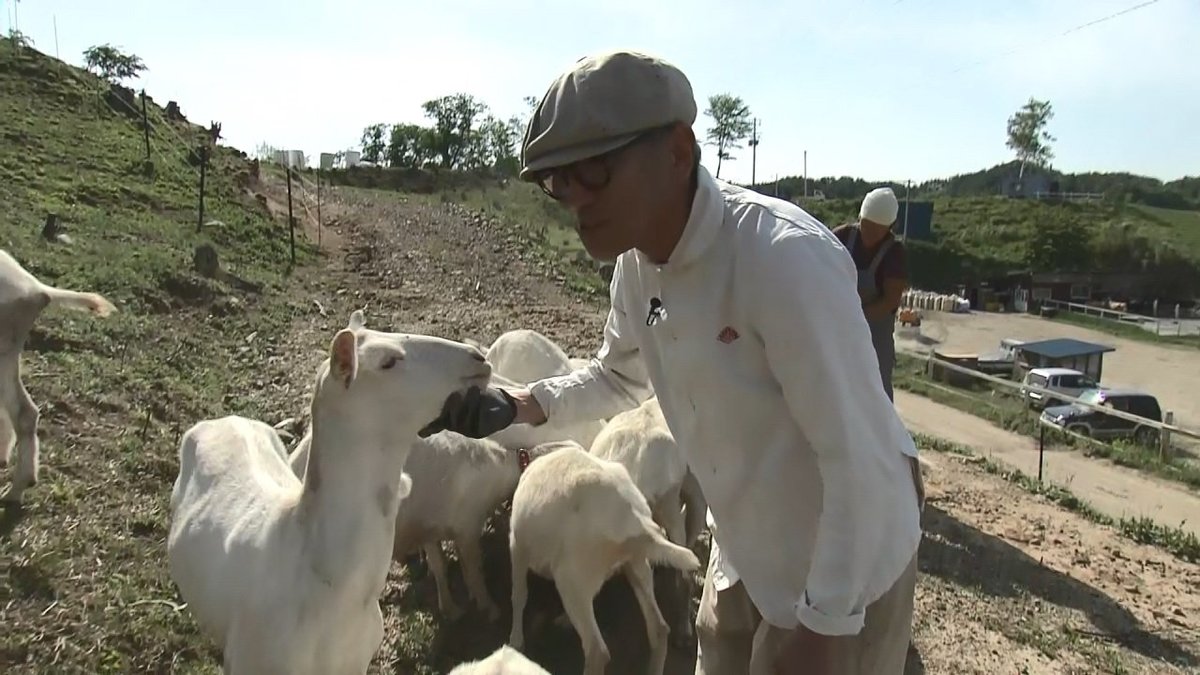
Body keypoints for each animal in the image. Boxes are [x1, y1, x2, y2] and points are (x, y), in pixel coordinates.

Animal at [508, 439, 700, 667]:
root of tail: (636, 521)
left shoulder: (517, 547)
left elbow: (519, 595)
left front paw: (515, 641)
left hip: (572, 577)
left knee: (597, 652)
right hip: (636, 563)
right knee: (660, 629)